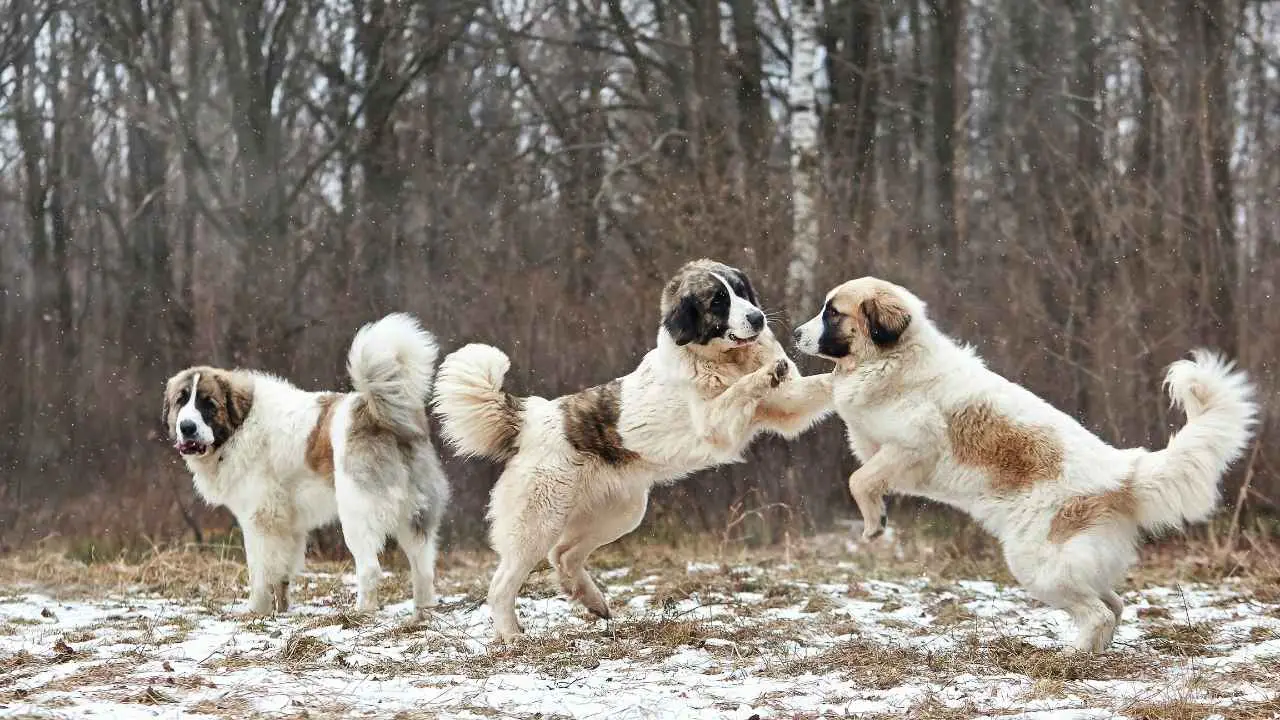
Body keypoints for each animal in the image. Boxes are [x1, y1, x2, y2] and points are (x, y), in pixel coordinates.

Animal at [162, 311, 450, 614]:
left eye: (208, 404)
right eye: (181, 401)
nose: (187, 427)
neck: (241, 425)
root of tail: (380, 414)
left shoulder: (259, 520)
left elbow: (259, 572)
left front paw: (256, 611)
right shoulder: (288, 525)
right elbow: (281, 574)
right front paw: (281, 610)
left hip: (357, 513)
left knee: (370, 569)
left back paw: (361, 612)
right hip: (415, 516)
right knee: (424, 568)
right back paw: (424, 611)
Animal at [435, 258, 834, 638]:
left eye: (741, 291)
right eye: (719, 301)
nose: (757, 317)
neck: (724, 359)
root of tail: (531, 417)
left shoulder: (787, 406)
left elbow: (820, 386)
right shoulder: (715, 423)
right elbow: (739, 389)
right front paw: (764, 374)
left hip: (621, 513)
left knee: (563, 553)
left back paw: (592, 601)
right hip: (538, 522)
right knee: (504, 582)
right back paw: (513, 637)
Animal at [793, 278, 1254, 653]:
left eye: (833, 313)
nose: (796, 333)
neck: (895, 358)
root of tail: (1124, 471)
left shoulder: (912, 445)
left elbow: (859, 480)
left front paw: (874, 525)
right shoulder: (875, 443)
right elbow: (861, 464)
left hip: (1039, 564)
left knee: (1100, 612)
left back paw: (1071, 658)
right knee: (1114, 604)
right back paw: (1091, 652)